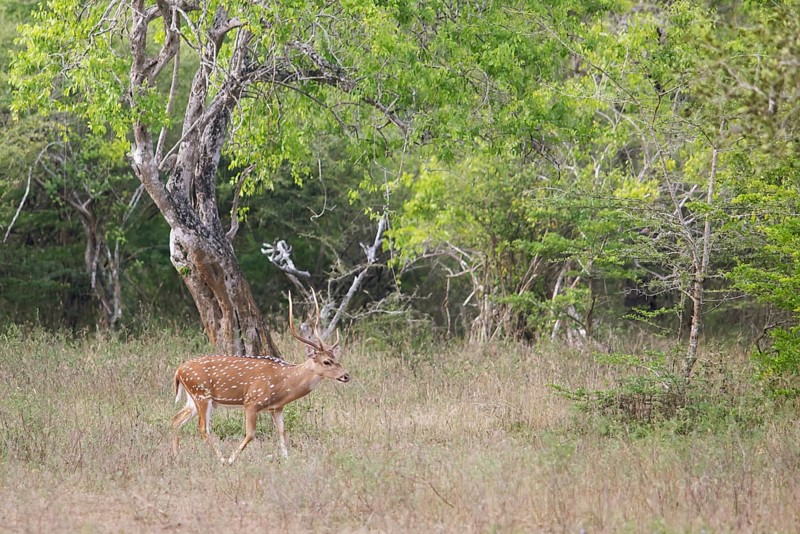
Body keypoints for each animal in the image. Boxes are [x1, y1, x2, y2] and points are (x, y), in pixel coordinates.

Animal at [171, 292, 350, 464]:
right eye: (326, 361)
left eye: (336, 358)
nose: (346, 376)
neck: (284, 383)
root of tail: (178, 371)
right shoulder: (252, 402)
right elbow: (250, 434)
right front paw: (231, 459)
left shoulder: (276, 407)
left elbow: (282, 432)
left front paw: (286, 460)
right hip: (201, 394)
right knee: (202, 428)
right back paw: (221, 459)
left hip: (194, 398)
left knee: (176, 418)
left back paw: (177, 455)